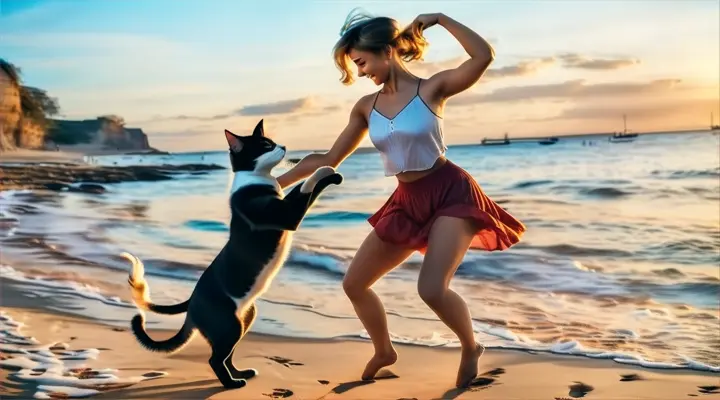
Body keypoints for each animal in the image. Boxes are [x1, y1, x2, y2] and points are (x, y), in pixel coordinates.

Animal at [123, 118, 344, 388]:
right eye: (265, 145)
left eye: (272, 141)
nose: (282, 145)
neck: (255, 179)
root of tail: (192, 303)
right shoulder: (286, 215)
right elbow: (307, 185)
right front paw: (327, 172)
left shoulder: (285, 206)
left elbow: (299, 189)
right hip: (229, 325)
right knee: (215, 359)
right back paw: (232, 383)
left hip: (244, 318)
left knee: (226, 355)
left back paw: (241, 373)